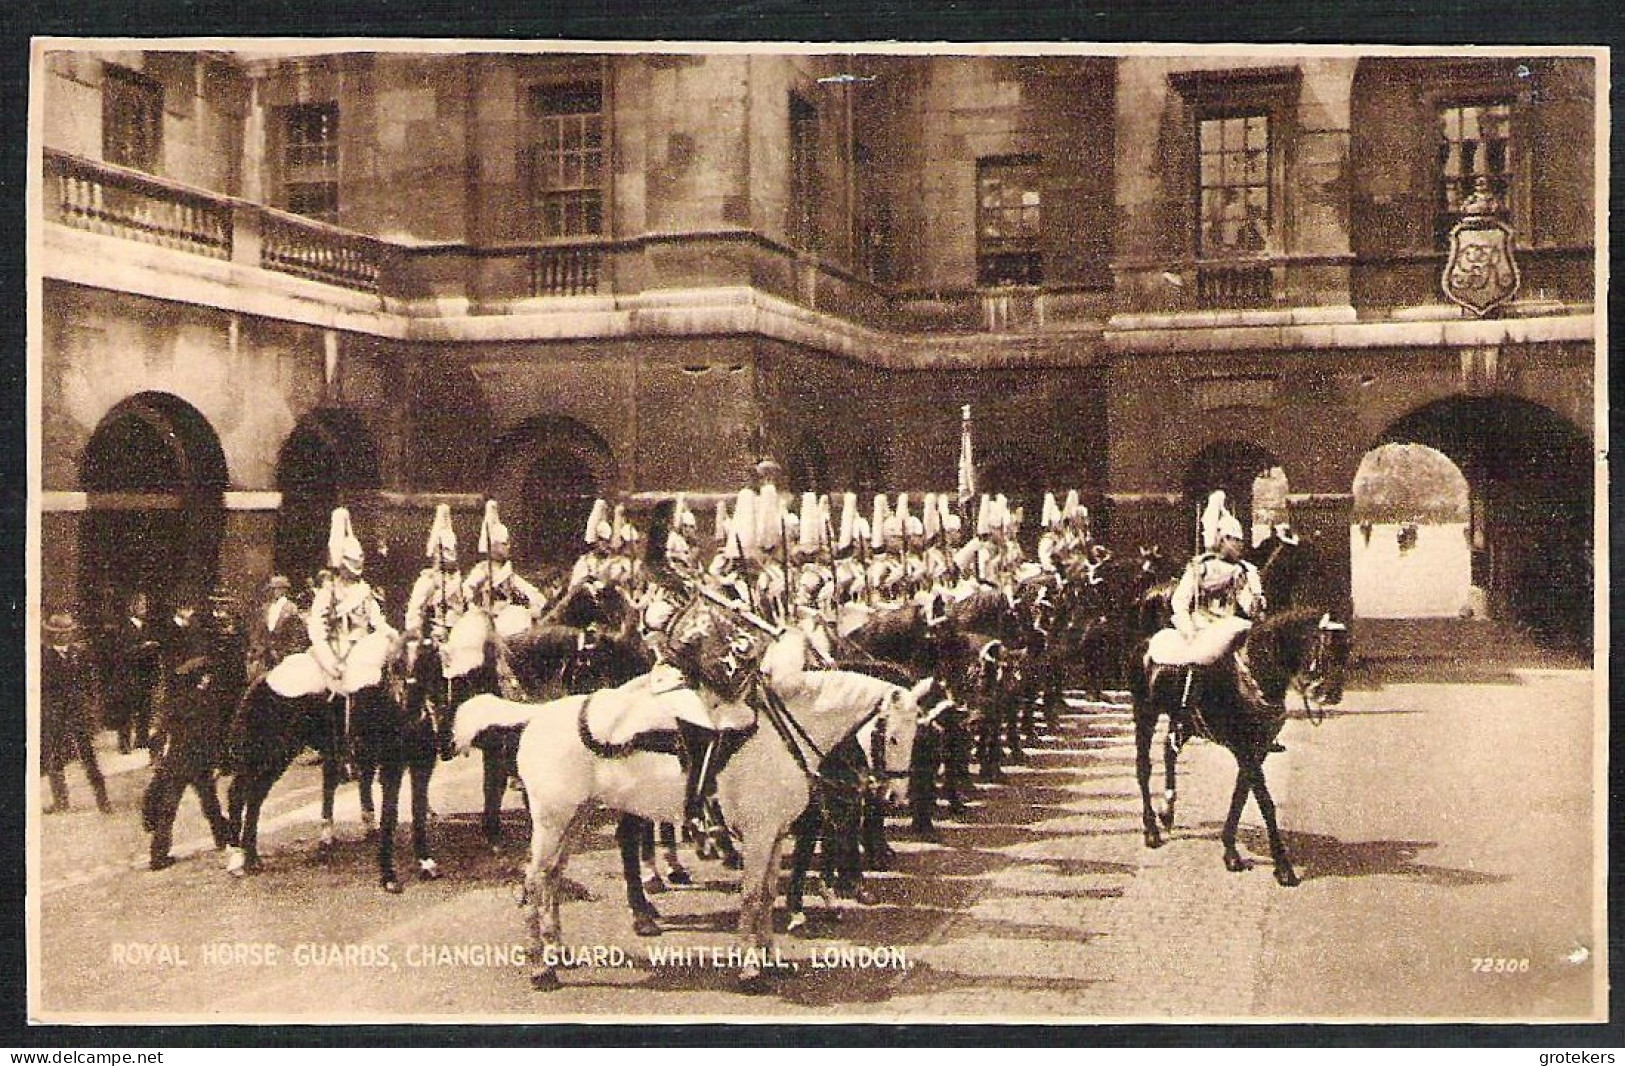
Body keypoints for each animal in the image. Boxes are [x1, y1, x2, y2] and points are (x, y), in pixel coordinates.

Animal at [448, 650, 929, 988]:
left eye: (917, 734)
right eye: (893, 735)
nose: (894, 794)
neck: (784, 735)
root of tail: (536, 714)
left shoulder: (773, 835)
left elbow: (768, 892)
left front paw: (771, 958)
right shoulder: (758, 834)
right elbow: (752, 895)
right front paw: (750, 969)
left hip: (575, 818)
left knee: (550, 878)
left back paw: (559, 954)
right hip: (551, 820)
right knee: (535, 880)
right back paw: (542, 969)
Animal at [1131, 607, 1345, 890]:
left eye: (1343, 648)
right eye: (1322, 647)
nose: (1330, 693)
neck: (1252, 674)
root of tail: (1146, 644)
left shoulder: (1257, 750)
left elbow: (1240, 796)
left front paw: (1231, 852)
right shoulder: (1244, 750)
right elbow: (1264, 802)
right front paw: (1283, 868)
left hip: (1184, 723)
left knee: (1169, 750)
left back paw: (1167, 811)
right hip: (1145, 714)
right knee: (1143, 769)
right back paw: (1152, 831)